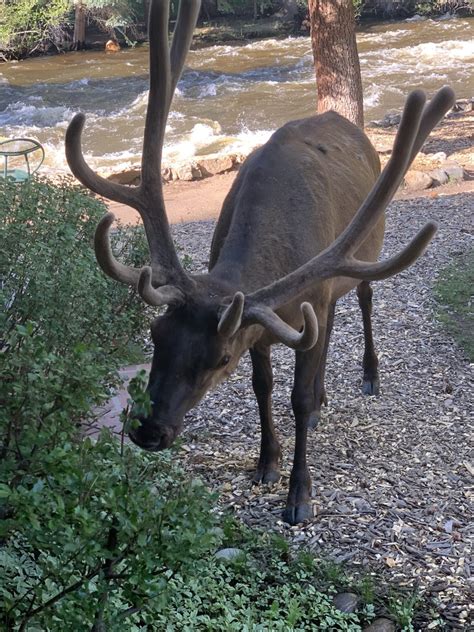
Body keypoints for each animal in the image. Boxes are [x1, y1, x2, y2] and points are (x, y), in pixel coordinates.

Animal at [66, 0, 456, 524]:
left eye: (219, 357)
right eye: (155, 334)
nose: (149, 431)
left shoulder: (301, 300)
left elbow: (298, 397)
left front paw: (299, 493)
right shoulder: (262, 324)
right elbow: (264, 386)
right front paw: (266, 462)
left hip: (364, 252)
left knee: (365, 298)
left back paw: (370, 375)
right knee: (331, 326)